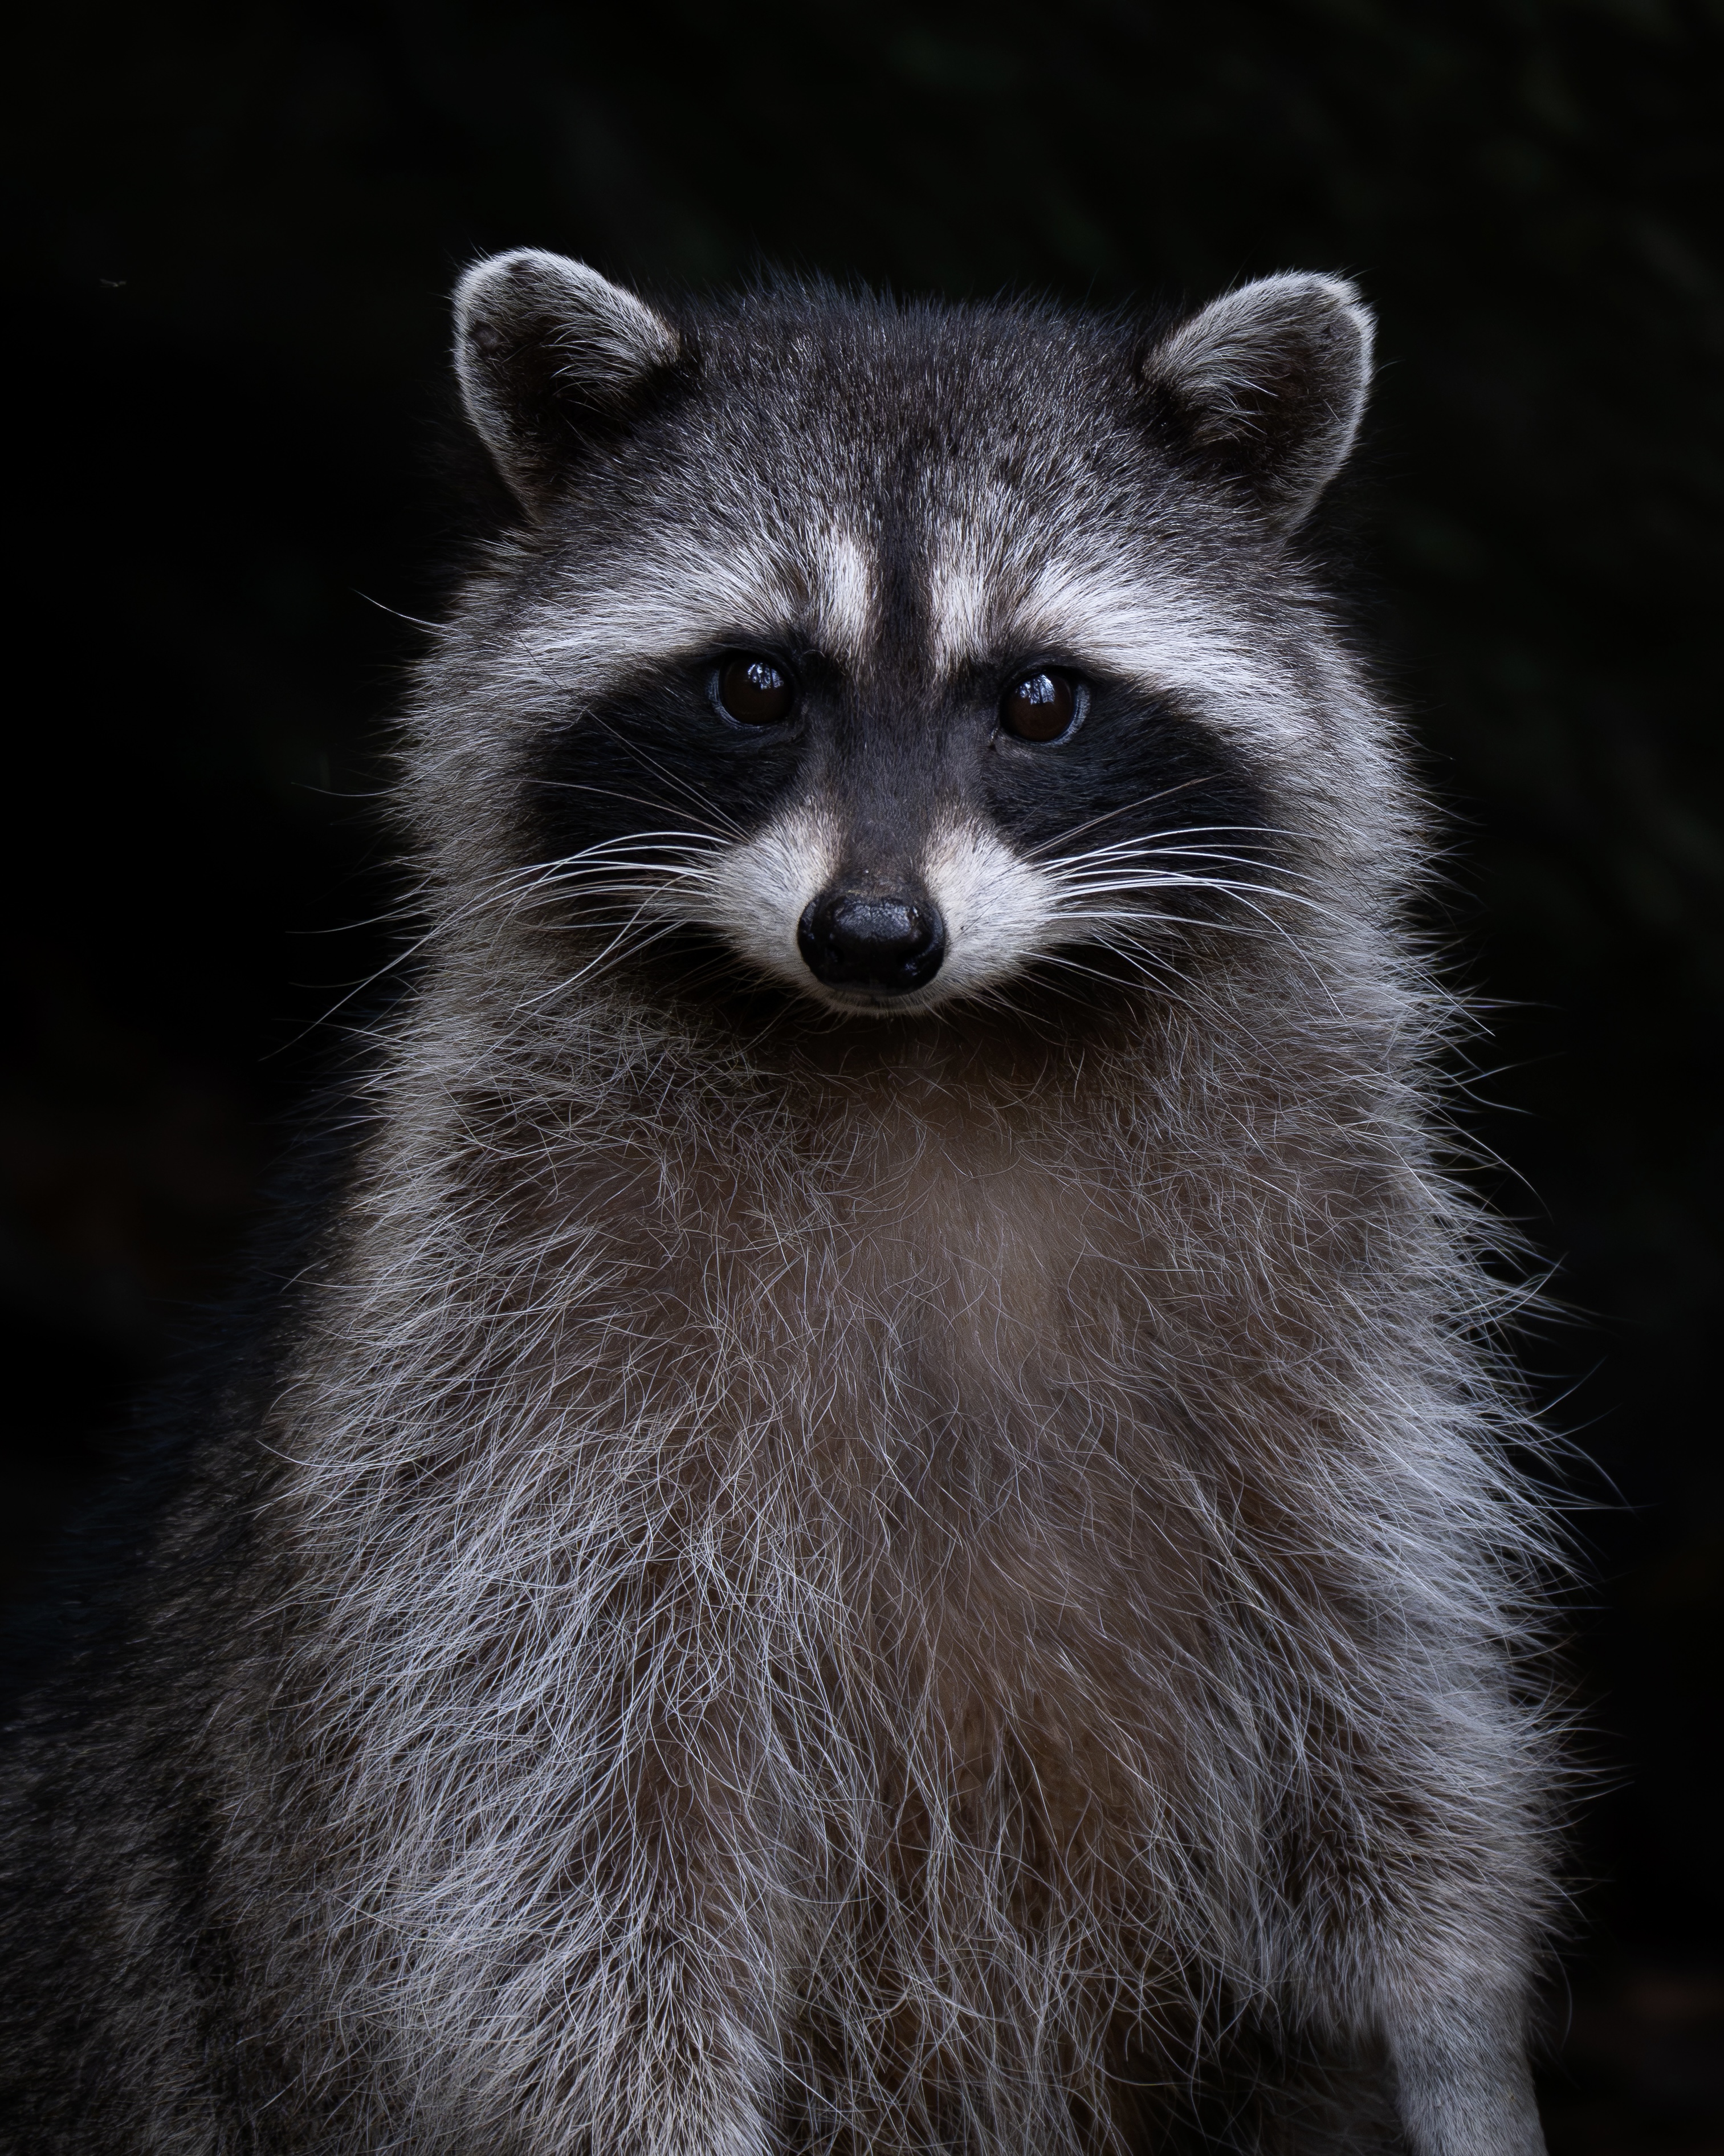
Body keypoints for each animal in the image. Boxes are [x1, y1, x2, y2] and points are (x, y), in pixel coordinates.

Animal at [0, 253, 1560, 2156]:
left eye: (1038, 699)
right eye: (754, 683)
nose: (873, 934)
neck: (925, 1053)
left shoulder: (1340, 1322)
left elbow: (1387, 1758)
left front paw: (1455, 2047)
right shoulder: (490, 1383)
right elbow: (561, 1854)